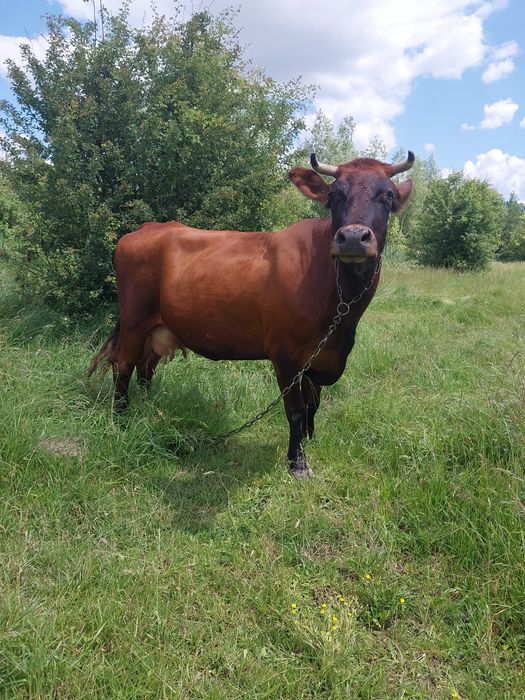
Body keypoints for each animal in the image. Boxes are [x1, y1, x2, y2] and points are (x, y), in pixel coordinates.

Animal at [89, 152, 414, 478]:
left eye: (388, 195)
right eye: (334, 195)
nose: (352, 237)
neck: (342, 311)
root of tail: (148, 228)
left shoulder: (322, 353)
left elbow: (314, 402)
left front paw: (310, 439)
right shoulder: (286, 354)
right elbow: (296, 409)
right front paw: (298, 462)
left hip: (160, 326)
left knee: (145, 367)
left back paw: (151, 408)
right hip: (134, 319)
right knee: (124, 365)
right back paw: (122, 418)